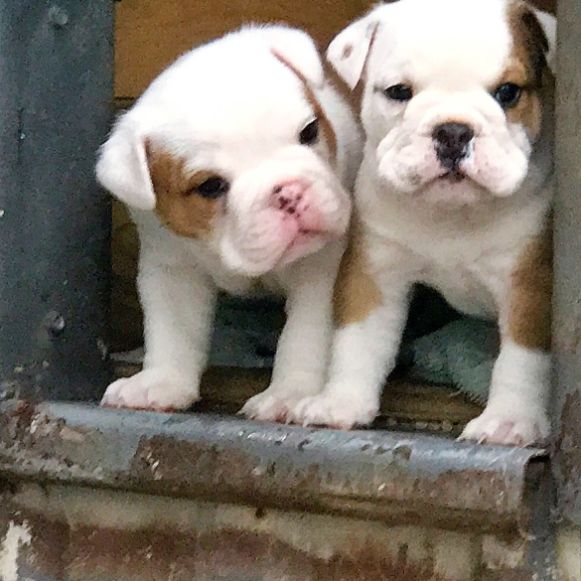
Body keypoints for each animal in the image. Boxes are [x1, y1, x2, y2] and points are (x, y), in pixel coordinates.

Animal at [98, 24, 362, 420]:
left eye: (310, 132)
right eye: (210, 186)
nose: (288, 193)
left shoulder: (320, 270)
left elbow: (304, 335)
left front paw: (289, 393)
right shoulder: (172, 267)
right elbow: (173, 330)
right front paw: (160, 382)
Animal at [292, 0, 556, 446]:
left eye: (508, 93)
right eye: (399, 92)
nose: (453, 131)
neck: (450, 215)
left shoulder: (530, 285)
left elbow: (521, 359)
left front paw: (508, 420)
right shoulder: (376, 273)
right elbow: (358, 342)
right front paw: (340, 402)